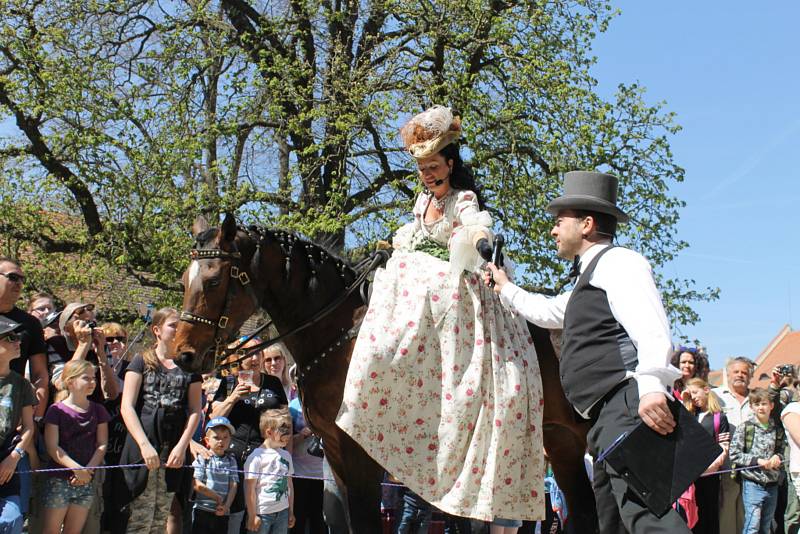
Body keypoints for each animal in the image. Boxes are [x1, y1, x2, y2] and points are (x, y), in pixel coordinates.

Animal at [177, 216, 600, 534]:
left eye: (213, 281)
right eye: (184, 281)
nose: (184, 354)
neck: (338, 334)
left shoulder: (360, 453)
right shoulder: (337, 455)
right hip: (562, 444)